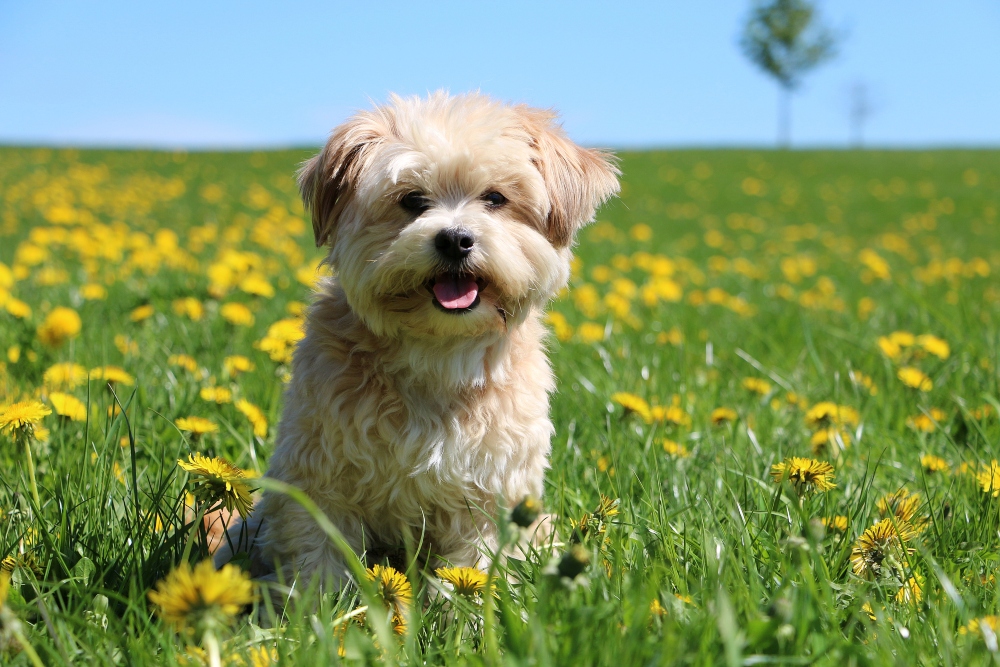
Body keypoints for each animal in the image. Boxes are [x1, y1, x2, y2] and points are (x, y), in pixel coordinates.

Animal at [214, 92, 616, 588]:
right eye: (412, 200)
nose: (456, 239)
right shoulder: (317, 479)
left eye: (495, 198)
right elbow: (318, 565)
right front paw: (316, 609)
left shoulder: (490, 495)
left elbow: (473, 571)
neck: (436, 352)